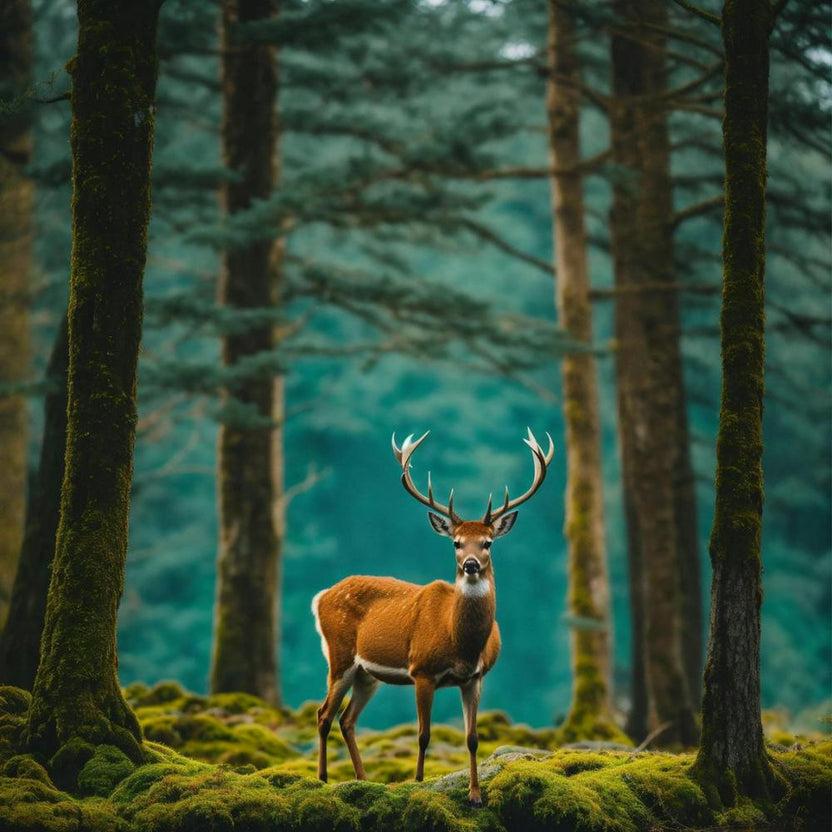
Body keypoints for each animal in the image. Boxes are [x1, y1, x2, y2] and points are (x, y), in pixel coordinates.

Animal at [311, 428, 554, 807]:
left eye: (488, 542)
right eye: (456, 542)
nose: (470, 565)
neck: (459, 641)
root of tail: (322, 595)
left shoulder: (474, 677)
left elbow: (472, 738)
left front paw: (475, 795)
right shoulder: (422, 670)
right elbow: (423, 735)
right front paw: (419, 782)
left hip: (367, 674)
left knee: (346, 719)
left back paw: (363, 779)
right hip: (340, 655)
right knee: (324, 714)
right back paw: (322, 779)